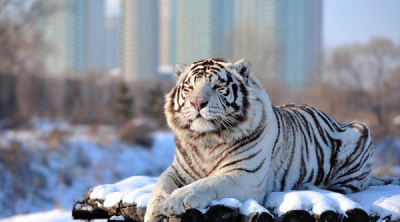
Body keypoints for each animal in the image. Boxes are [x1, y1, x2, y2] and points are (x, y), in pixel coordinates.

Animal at [145, 58, 400, 221]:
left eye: (218, 86)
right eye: (189, 88)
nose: (198, 103)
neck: (207, 140)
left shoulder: (246, 175)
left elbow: (207, 184)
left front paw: (175, 201)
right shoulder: (177, 170)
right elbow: (160, 187)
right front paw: (155, 210)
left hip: (360, 130)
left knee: (346, 187)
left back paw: (310, 186)